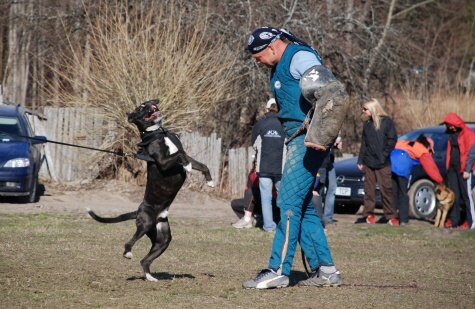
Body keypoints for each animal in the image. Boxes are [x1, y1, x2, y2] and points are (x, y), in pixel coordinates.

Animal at [87, 99, 216, 282]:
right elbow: (181, 155)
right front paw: (189, 166)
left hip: (163, 238)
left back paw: (150, 277)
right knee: (129, 243)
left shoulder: (181, 157)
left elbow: (200, 164)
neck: (158, 132)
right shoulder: (163, 161)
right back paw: (127, 253)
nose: (152, 103)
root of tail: (139, 211)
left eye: (146, 103)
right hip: (146, 223)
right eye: (141, 108)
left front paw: (210, 181)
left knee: (144, 260)